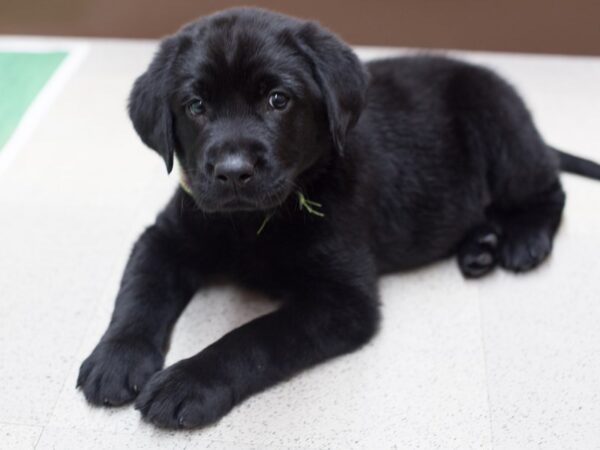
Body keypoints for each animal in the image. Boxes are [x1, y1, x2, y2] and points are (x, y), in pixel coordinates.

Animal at [77, 7, 600, 428]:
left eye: (278, 99)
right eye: (196, 106)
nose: (232, 172)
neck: (255, 223)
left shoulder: (343, 301)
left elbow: (255, 337)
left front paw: (188, 381)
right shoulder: (167, 235)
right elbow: (139, 292)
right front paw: (116, 358)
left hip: (501, 130)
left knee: (549, 189)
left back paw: (522, 242)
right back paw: (480, 246)